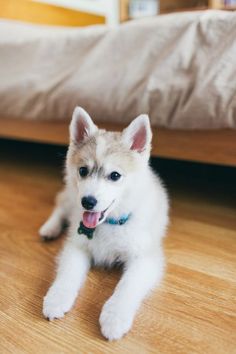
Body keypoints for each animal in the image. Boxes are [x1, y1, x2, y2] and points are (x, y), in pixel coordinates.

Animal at [39, 107, 169, 340]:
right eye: (83, 171)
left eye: (115, 175)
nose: (88, 202)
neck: (109, 223)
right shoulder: (77, 245)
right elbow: (68, 274)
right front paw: (56, 298)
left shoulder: (145, 259)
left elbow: (127, 285)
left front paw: (115, 317)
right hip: (71, 196)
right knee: (61, 205)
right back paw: (50, 228)